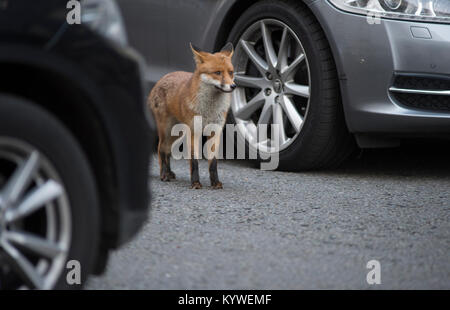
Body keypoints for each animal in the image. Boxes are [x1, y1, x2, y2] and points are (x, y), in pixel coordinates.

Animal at [149, 43, 237, 189]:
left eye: (231, 72)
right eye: (218, 72)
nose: (233, 86)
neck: (209, 110)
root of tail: (162, 78)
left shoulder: (215, 130)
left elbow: (213, 162)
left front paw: (215, 183)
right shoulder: (193, 131)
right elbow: (194, 161)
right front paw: (195, 183)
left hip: (176, 133)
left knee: (167, 151)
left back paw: (169, 173)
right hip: (167, 130)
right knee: (161, 149)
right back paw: (164, 174)